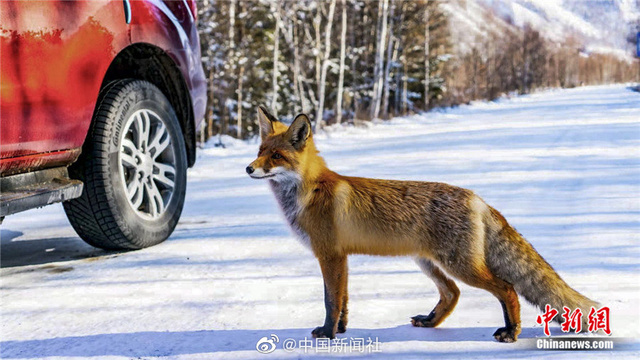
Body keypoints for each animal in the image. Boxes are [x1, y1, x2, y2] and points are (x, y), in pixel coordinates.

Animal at [248, 105, 596, 342]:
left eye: (276, 156)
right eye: (260, 151)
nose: (249, 168)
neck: (309, 191)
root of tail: (476, 197)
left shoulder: (330, 255)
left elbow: (331, 300)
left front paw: (328, 333)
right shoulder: (340, 257)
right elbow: (343, 300)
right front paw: (342, 330)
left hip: (459, 265)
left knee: (507, 288)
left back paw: (511, 332)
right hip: (428, 262)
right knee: (453, 293)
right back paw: (430, 322)